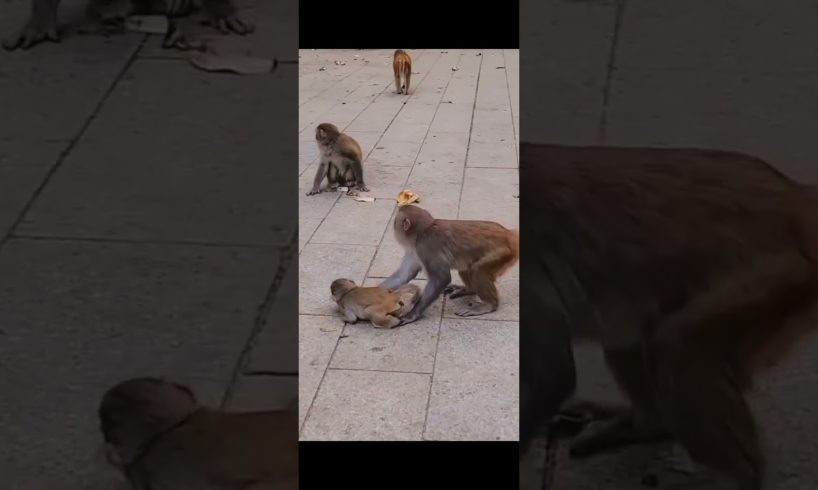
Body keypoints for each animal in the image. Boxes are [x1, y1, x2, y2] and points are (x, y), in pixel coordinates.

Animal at [379, 204, 519, 326]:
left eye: (395, 222)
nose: (393, 227)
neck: (423, 230)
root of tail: (508, 234)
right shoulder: (414, 249)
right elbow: (404, 274)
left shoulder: (426, 247)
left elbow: (441, 278)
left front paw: (413, 314)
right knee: (466, 266)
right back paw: (469, 290)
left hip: (500, 252)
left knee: (478, 269)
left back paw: (489, 305)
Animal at [519, 142, 818, 489]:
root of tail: (794, 197)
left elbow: (551, 376)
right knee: (630, 335)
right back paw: (646, 425)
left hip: (774, 272)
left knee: (676, 346)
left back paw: (741, 477)